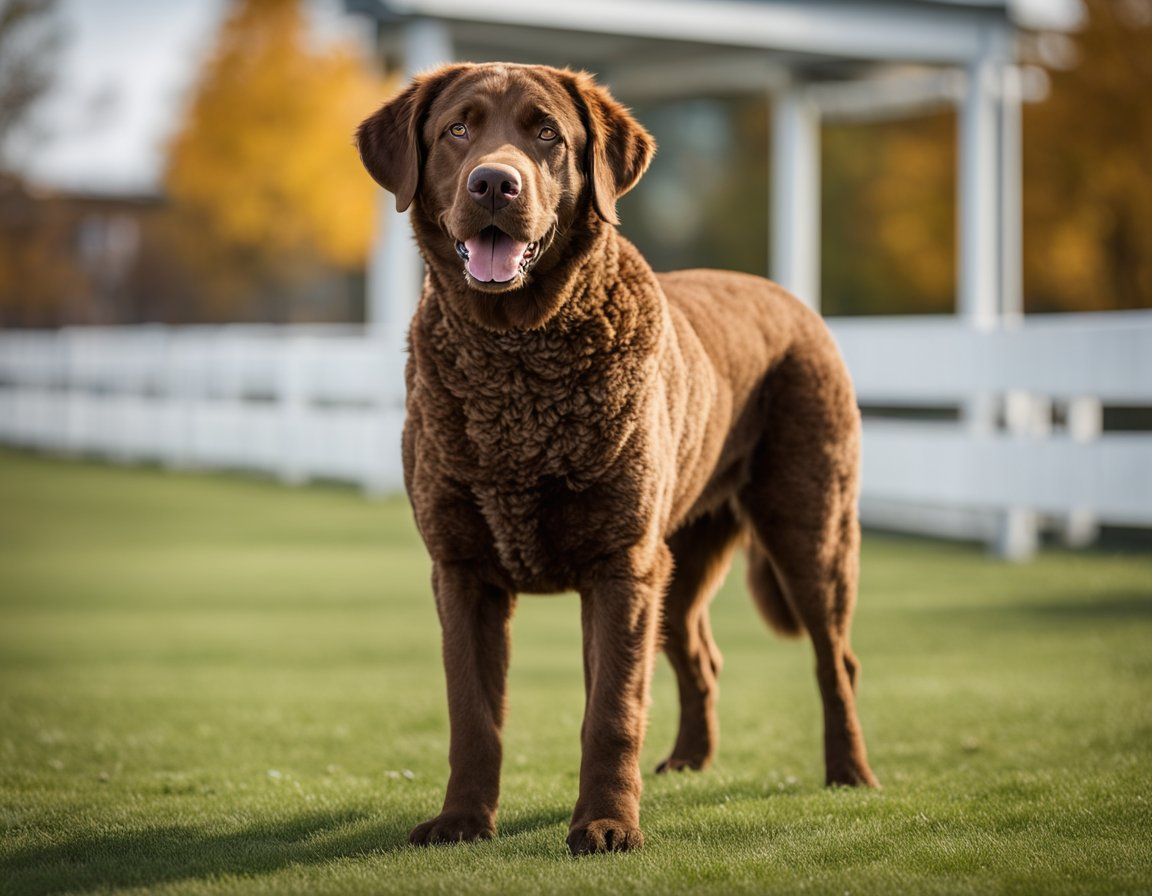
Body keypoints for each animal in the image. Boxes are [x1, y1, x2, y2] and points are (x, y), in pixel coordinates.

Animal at [354, 61, 875, 852]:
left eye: (546, 133)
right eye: (458, 129)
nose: (494, 184)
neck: (516, 363)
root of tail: (789, 299)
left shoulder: (620, 565)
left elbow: (611, 711)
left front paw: (604, 826)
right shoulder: (461, 567)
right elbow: (473, 715)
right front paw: (462, 821)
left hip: (807, 526)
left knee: (834, 656)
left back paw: (850, 773)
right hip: (681, 554)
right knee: (701, 653)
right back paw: (690, 761)